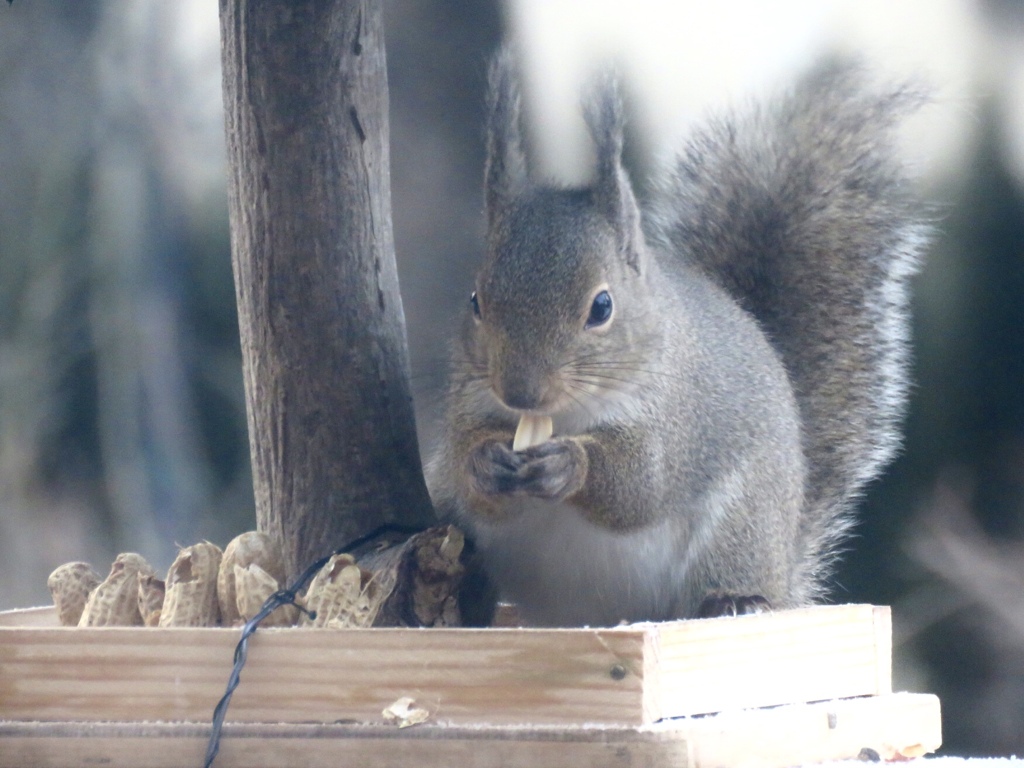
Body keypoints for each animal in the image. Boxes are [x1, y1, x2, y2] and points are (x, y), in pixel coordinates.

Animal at [423, 46, 929, 626]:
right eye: (475, 300)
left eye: (602, 307)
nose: (521, 394)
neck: (565, 417)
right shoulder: (469, 402)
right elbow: (470, 471)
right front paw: (484, 461)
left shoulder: (675, 418)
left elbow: (643, 481)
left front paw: (570, 464)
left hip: (738, 531)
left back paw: (735, 600)